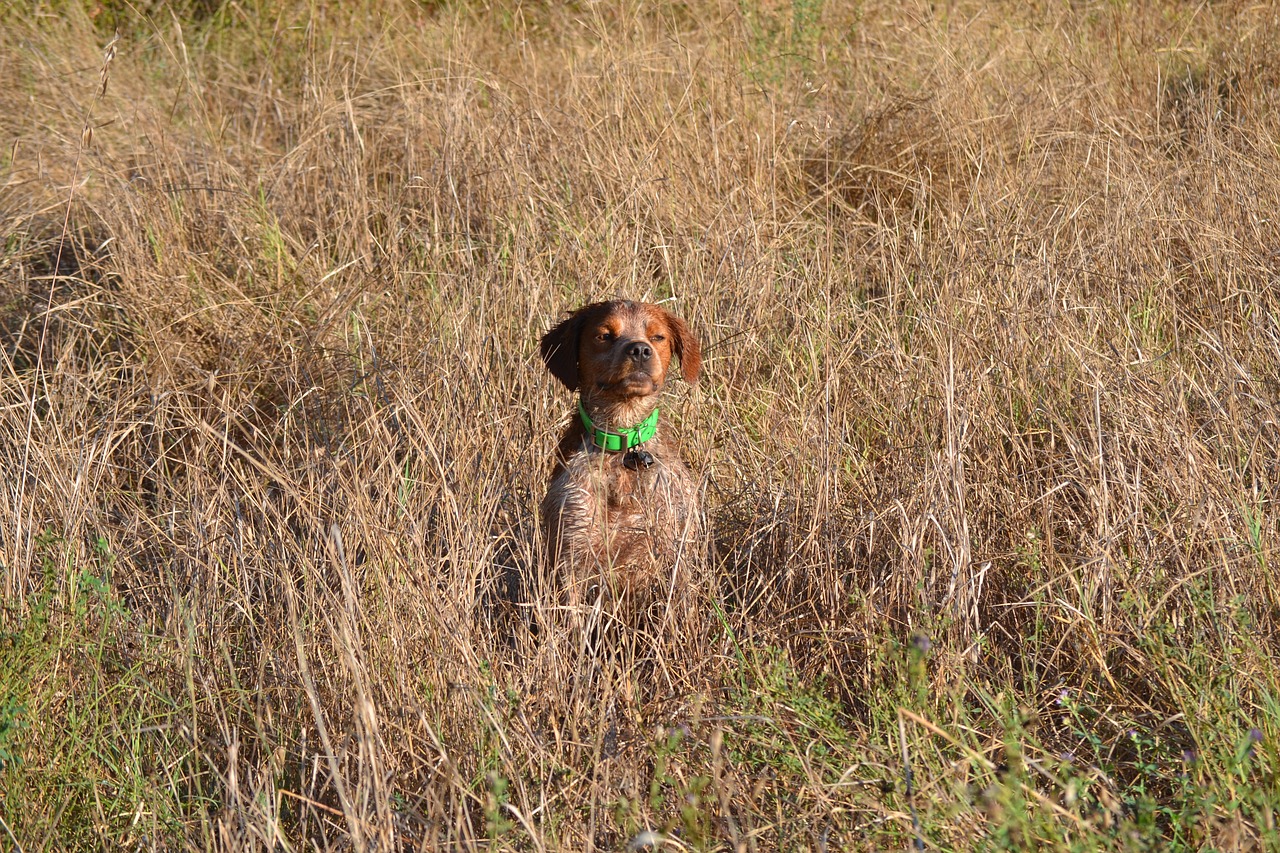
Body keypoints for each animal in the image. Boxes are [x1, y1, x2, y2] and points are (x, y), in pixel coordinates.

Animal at [537, 297, 706, 596]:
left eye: (657, 336)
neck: (623, 451)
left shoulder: (675, 550)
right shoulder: (571, 552)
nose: (639, 349)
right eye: (604, 335)